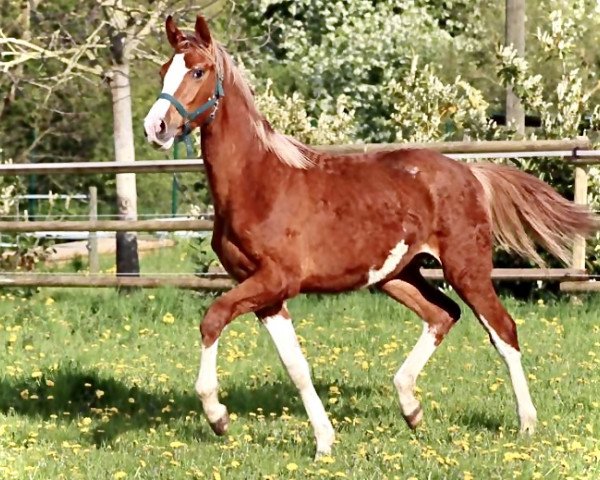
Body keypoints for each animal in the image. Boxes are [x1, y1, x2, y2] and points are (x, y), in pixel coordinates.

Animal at [143, 15, 596, 458]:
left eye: (198, 71)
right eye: (164, 70)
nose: (156, 127)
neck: (258, 182)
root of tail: (471, 173)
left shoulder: (276, 280)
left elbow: (213, 318)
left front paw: (217, 416)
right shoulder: (267, 295)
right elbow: (296, 366)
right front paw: (324, 441)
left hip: (466, 270)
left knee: (503, 330)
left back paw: (526, 423)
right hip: (397, 274)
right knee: (444, 314)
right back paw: (411, 407)